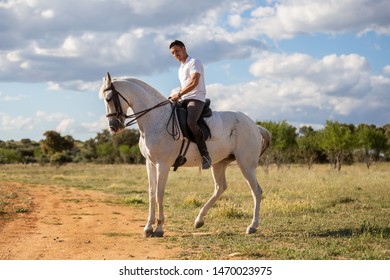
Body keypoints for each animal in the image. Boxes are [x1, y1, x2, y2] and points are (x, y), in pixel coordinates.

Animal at [100, 72, 272, 236]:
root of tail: (255, 126)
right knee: (220, 188)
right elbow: (151, 194)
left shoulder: (162, 165)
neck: (156, 119)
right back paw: (199, 220)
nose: (114, 127)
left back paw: (252, 226)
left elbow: (159, 194)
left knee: (256, 191)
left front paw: (159, 228)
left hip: (246, 164)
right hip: (219, 163)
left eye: (109, 98)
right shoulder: (150, 164)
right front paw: (148, 227)